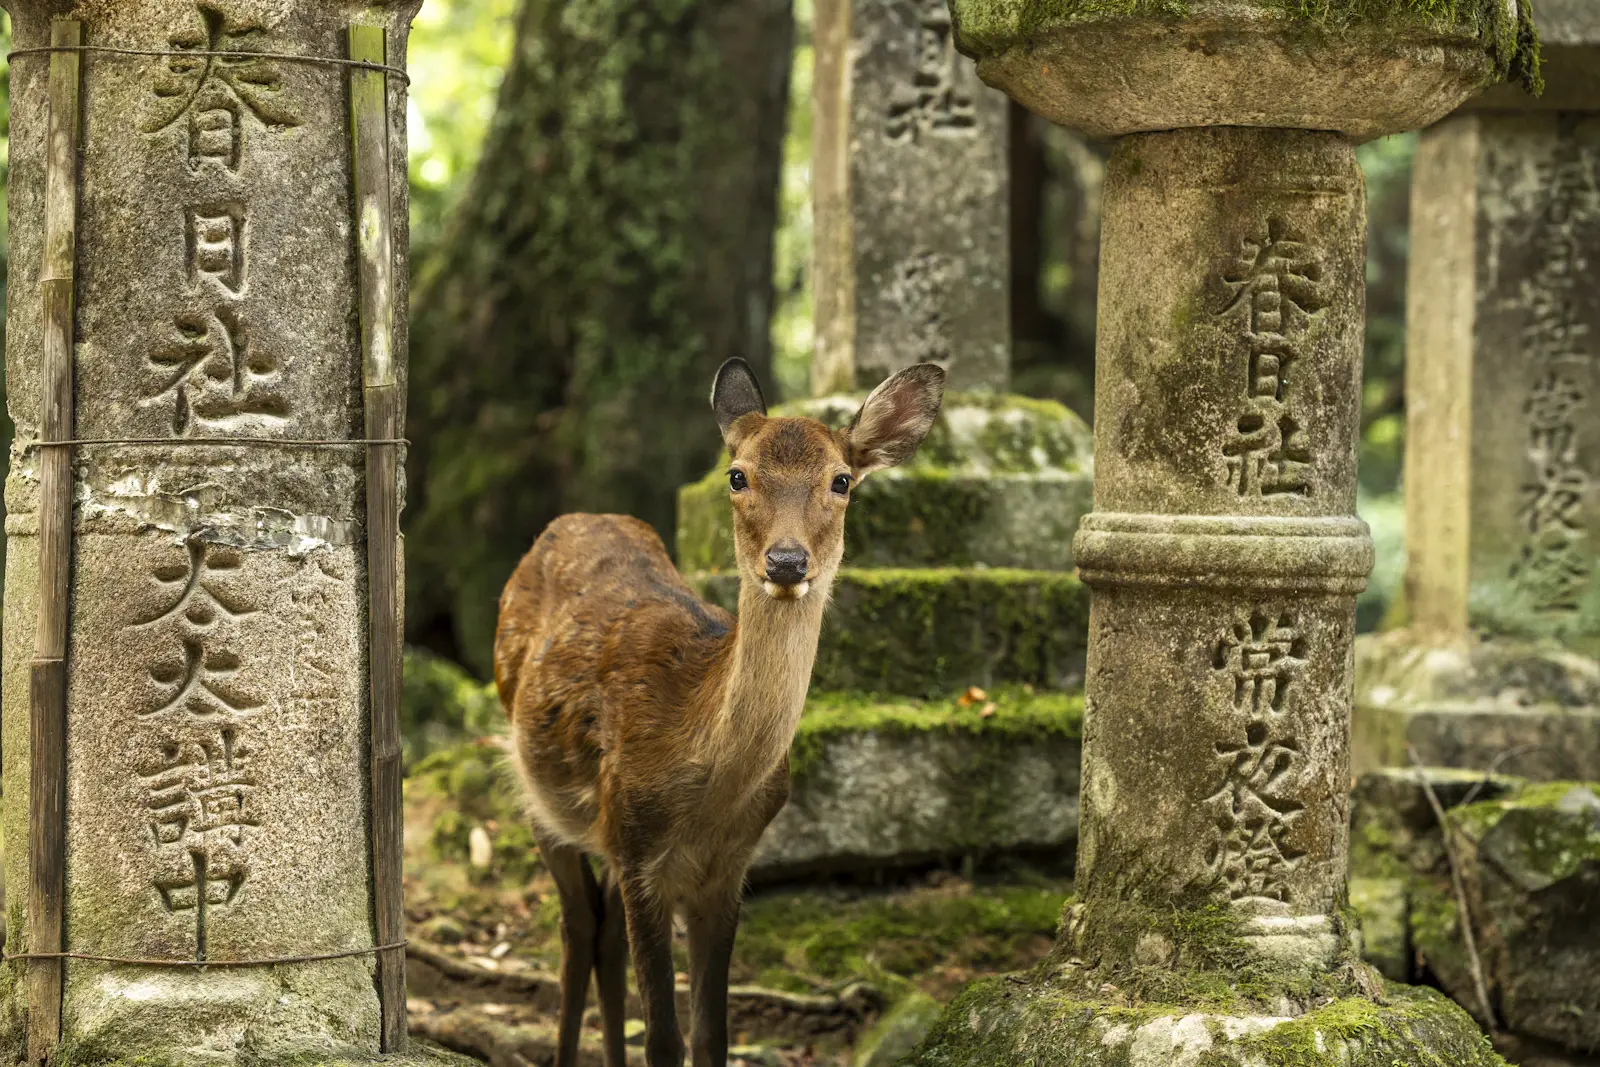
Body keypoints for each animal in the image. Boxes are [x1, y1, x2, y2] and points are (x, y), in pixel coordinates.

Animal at [493, 357, 946, 1067]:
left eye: (841, 480)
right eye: (738, 475)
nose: (786, 561)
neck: (708, 790)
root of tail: (576, 516)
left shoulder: (727, 869)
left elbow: (710, 1035)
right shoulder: (639, 850)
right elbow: (664, 1037)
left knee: (604, 937)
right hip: (533, 785)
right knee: (577, 928)